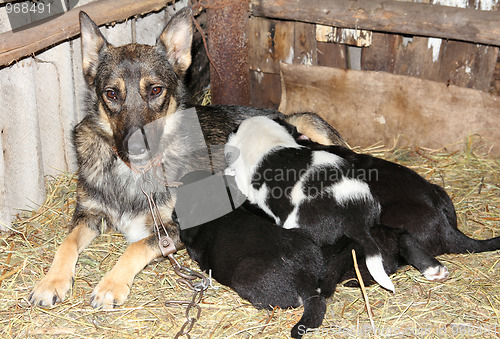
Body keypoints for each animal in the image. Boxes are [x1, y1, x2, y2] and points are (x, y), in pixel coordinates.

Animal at [28, 7, 344, 310]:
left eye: (156, 90)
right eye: (111, 94)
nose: (136, 147)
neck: (133, 174)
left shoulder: (173, 229)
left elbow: (135, 247)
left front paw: (111, 285)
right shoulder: (88, 214)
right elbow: (66, 243)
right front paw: (51, 282)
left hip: (308, 121)